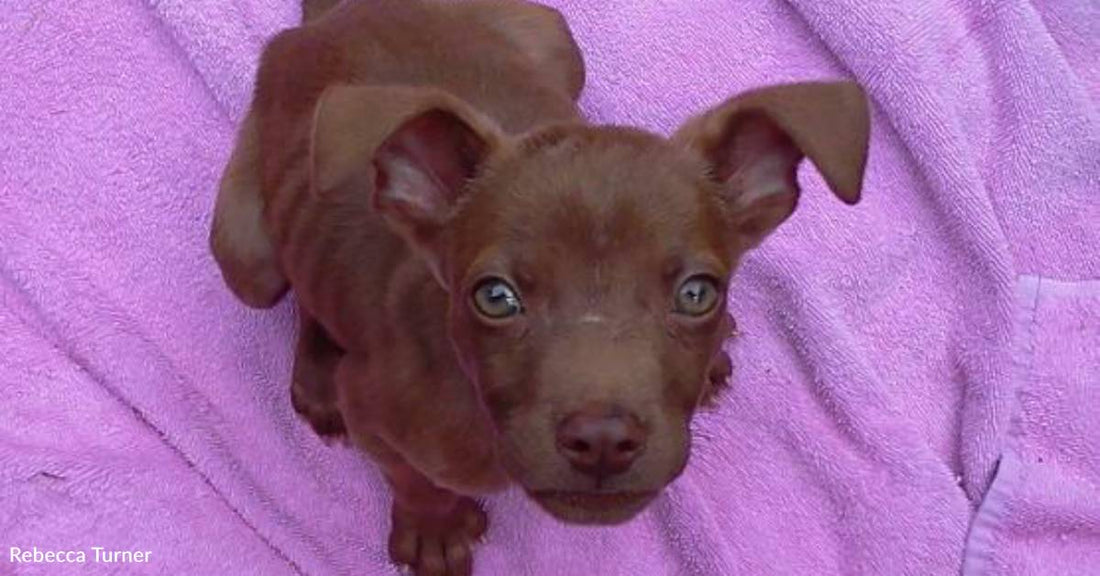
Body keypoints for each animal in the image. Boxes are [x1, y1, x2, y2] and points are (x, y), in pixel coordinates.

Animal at [210, 2, 871, 571]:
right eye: (495, 297)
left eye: (697, 293)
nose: (602, 440)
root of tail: (339, 12)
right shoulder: (374, 410)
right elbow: (412, 477)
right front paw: (434, 528)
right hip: (247, 257)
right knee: (297, 287)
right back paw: (318, 373)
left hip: (557, 41)